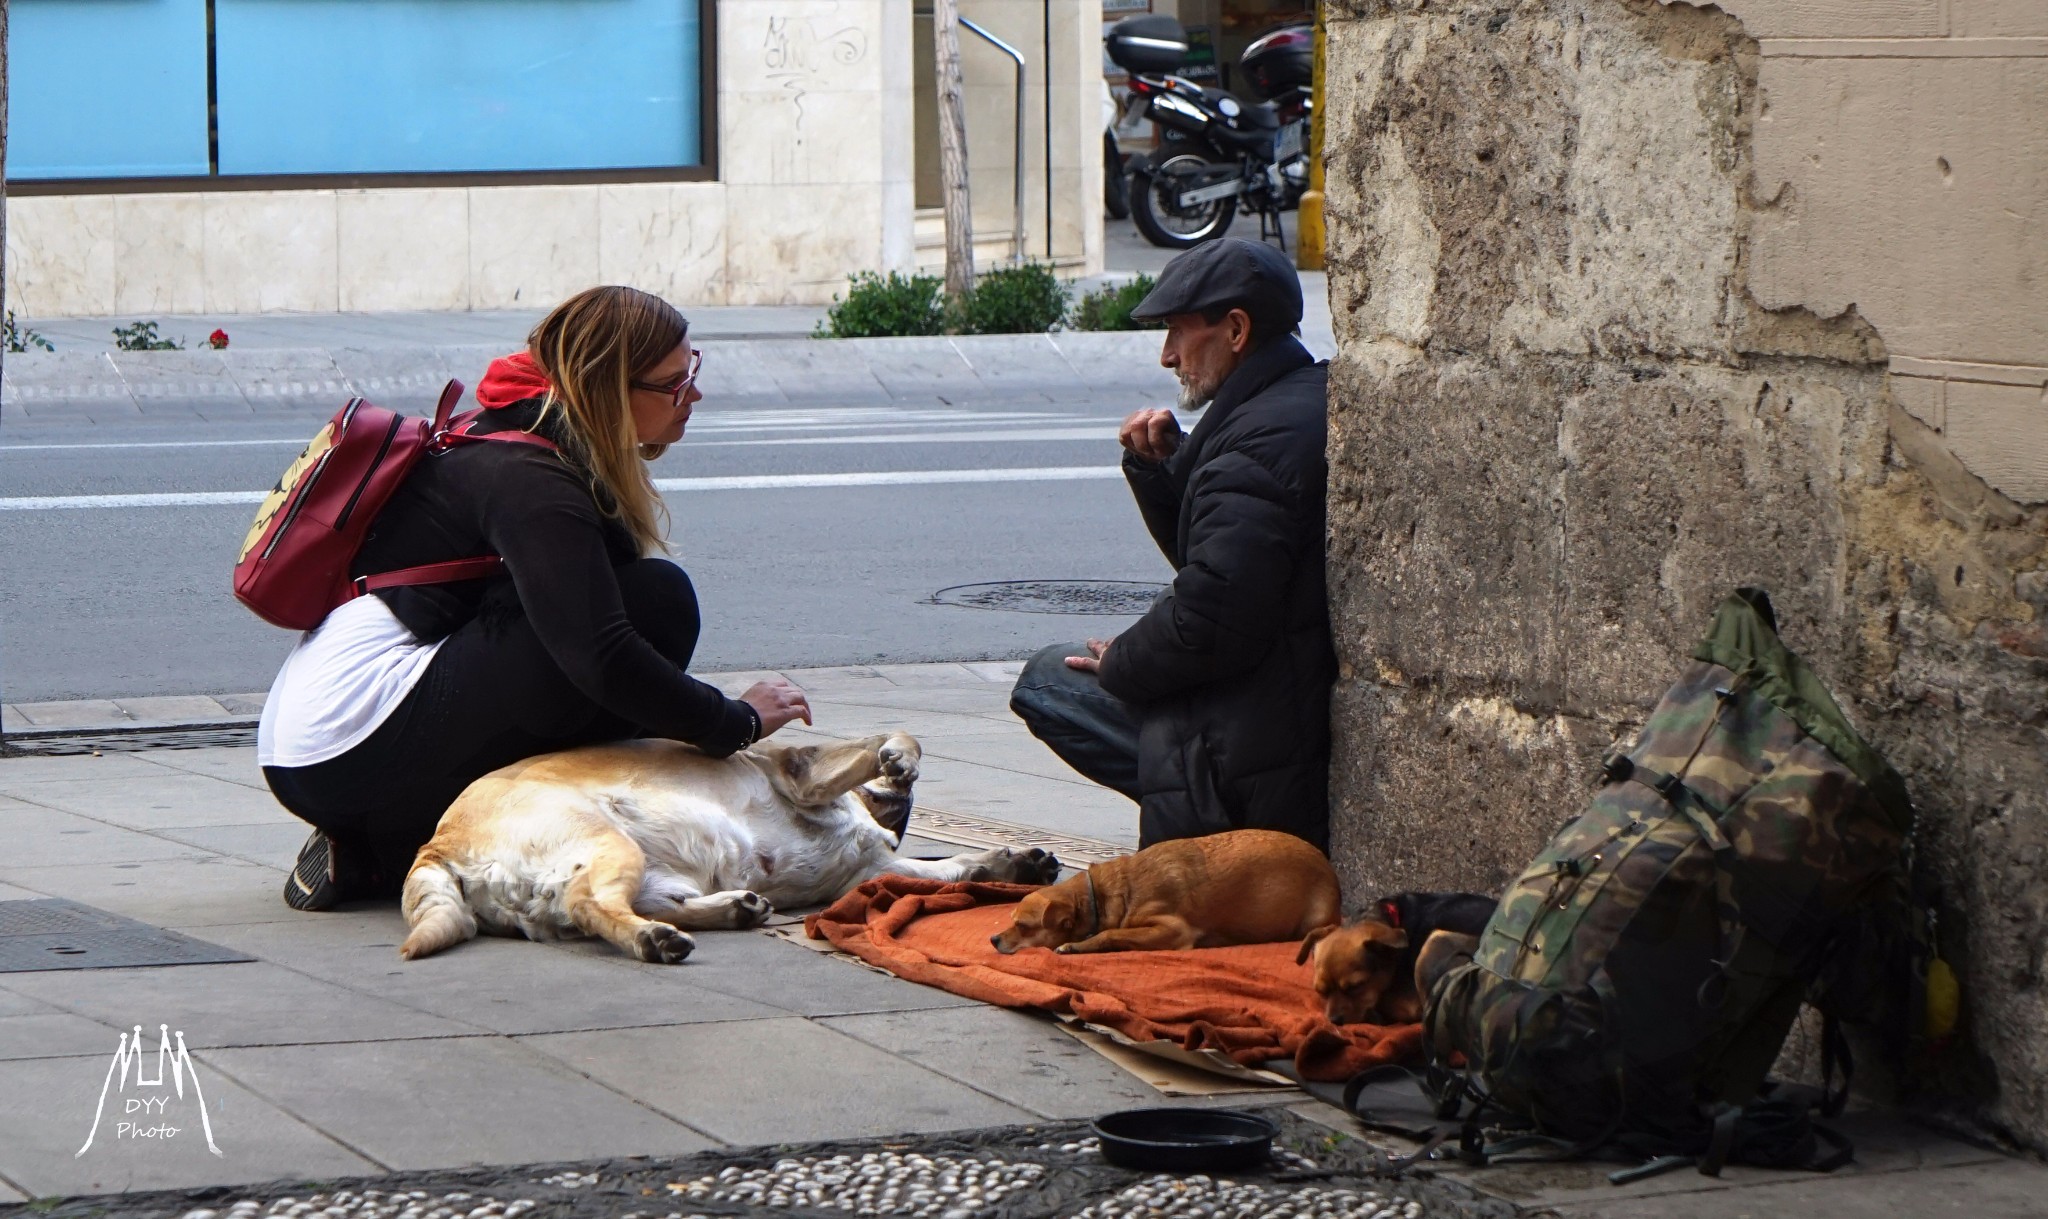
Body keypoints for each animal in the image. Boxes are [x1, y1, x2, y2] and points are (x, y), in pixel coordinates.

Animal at [407, 733, 1064, 962]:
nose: (897, 798)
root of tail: (437, 843)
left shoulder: (873, 870)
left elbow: (951, 867)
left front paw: (1015, 863)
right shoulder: (802, 771)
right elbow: (897, 737)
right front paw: (898, 759)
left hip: (646, 869)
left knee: (611, 904)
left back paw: (732, 909)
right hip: (608, 841)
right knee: (589, 903)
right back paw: (655, 941)